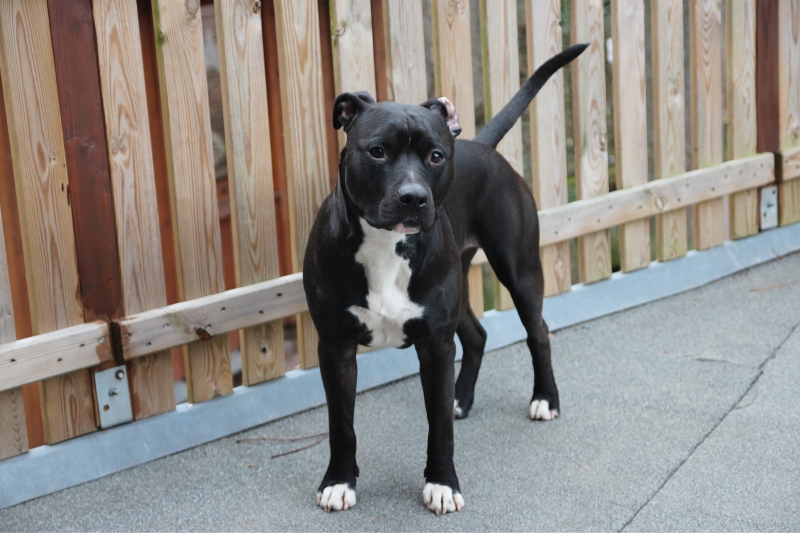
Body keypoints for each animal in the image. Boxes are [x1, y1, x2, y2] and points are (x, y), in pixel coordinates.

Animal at [302, 43, 588, 512]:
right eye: (377, 151)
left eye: (435, 156)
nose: (414, 198)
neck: (386, 245)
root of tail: (480, 143)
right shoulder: (335, 346)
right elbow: (341, 425)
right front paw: (340, 482)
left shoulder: (435, 345)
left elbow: (438, 428)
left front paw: (441, 483)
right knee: (477, 335)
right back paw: (461, 398)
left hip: (520, 271)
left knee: (539, 332)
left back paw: (545, 398)